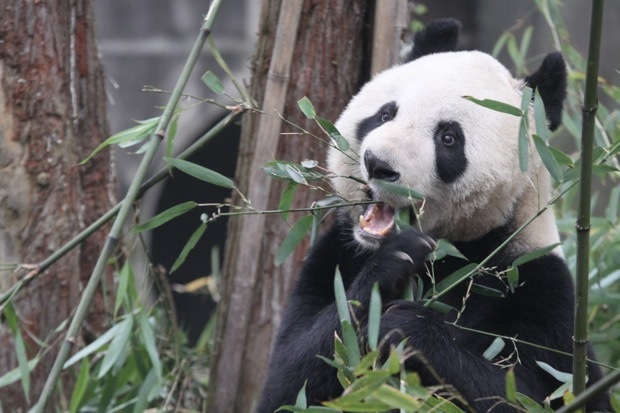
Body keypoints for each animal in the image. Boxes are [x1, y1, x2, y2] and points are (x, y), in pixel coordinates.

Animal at [256, 18, 612, 412]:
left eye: (448, 138)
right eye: (385, 114)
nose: (378, 164)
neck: (453, 254)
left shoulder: (538, 288)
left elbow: (527, 393)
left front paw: (408, 327)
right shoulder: (335, 256)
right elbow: (294, 375)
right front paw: (396, 260)